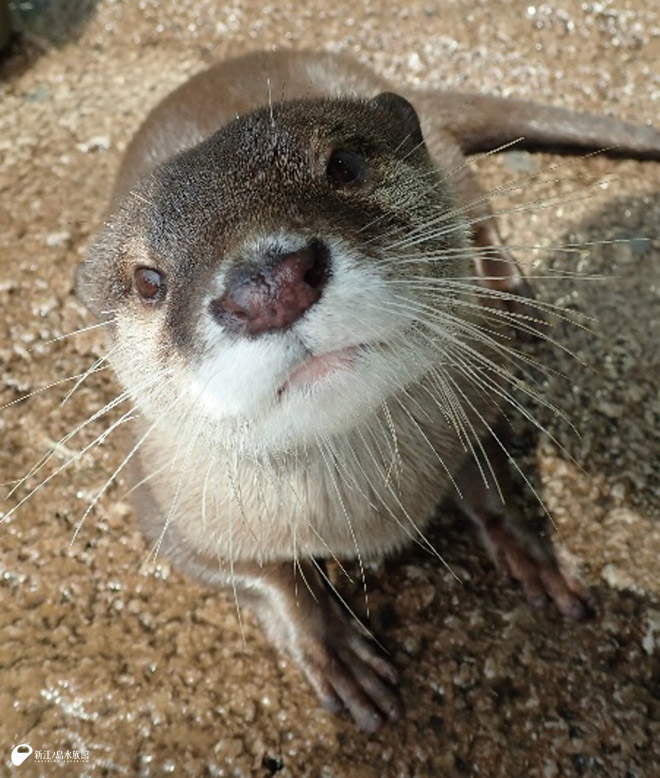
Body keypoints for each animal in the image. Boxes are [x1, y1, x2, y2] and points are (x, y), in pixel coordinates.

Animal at [75, 51, 660, 732]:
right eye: (148, 280)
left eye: (345, 165)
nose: (267, 285)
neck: (372, 510)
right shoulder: (164, 506)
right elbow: (263, 578)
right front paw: (331, 647)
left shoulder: (477, 398)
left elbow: (486, 475)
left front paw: (528, 547)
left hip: (459, 178)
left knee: (482, 222)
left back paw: (511, 292)